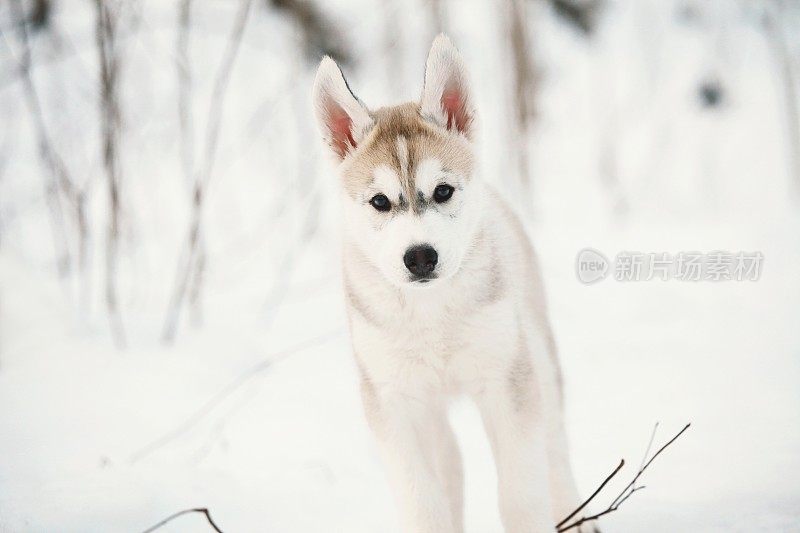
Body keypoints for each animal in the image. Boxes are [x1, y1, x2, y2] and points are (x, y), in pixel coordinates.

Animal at [312, 35, 588, 532]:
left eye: (443, 191)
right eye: (379, 201)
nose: (420, 256)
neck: (431, 315)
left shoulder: (505, 382)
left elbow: (520, 494)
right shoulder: (394, 403)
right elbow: (424, 502)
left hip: (538, 361)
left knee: (555, 456)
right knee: (452, 462)